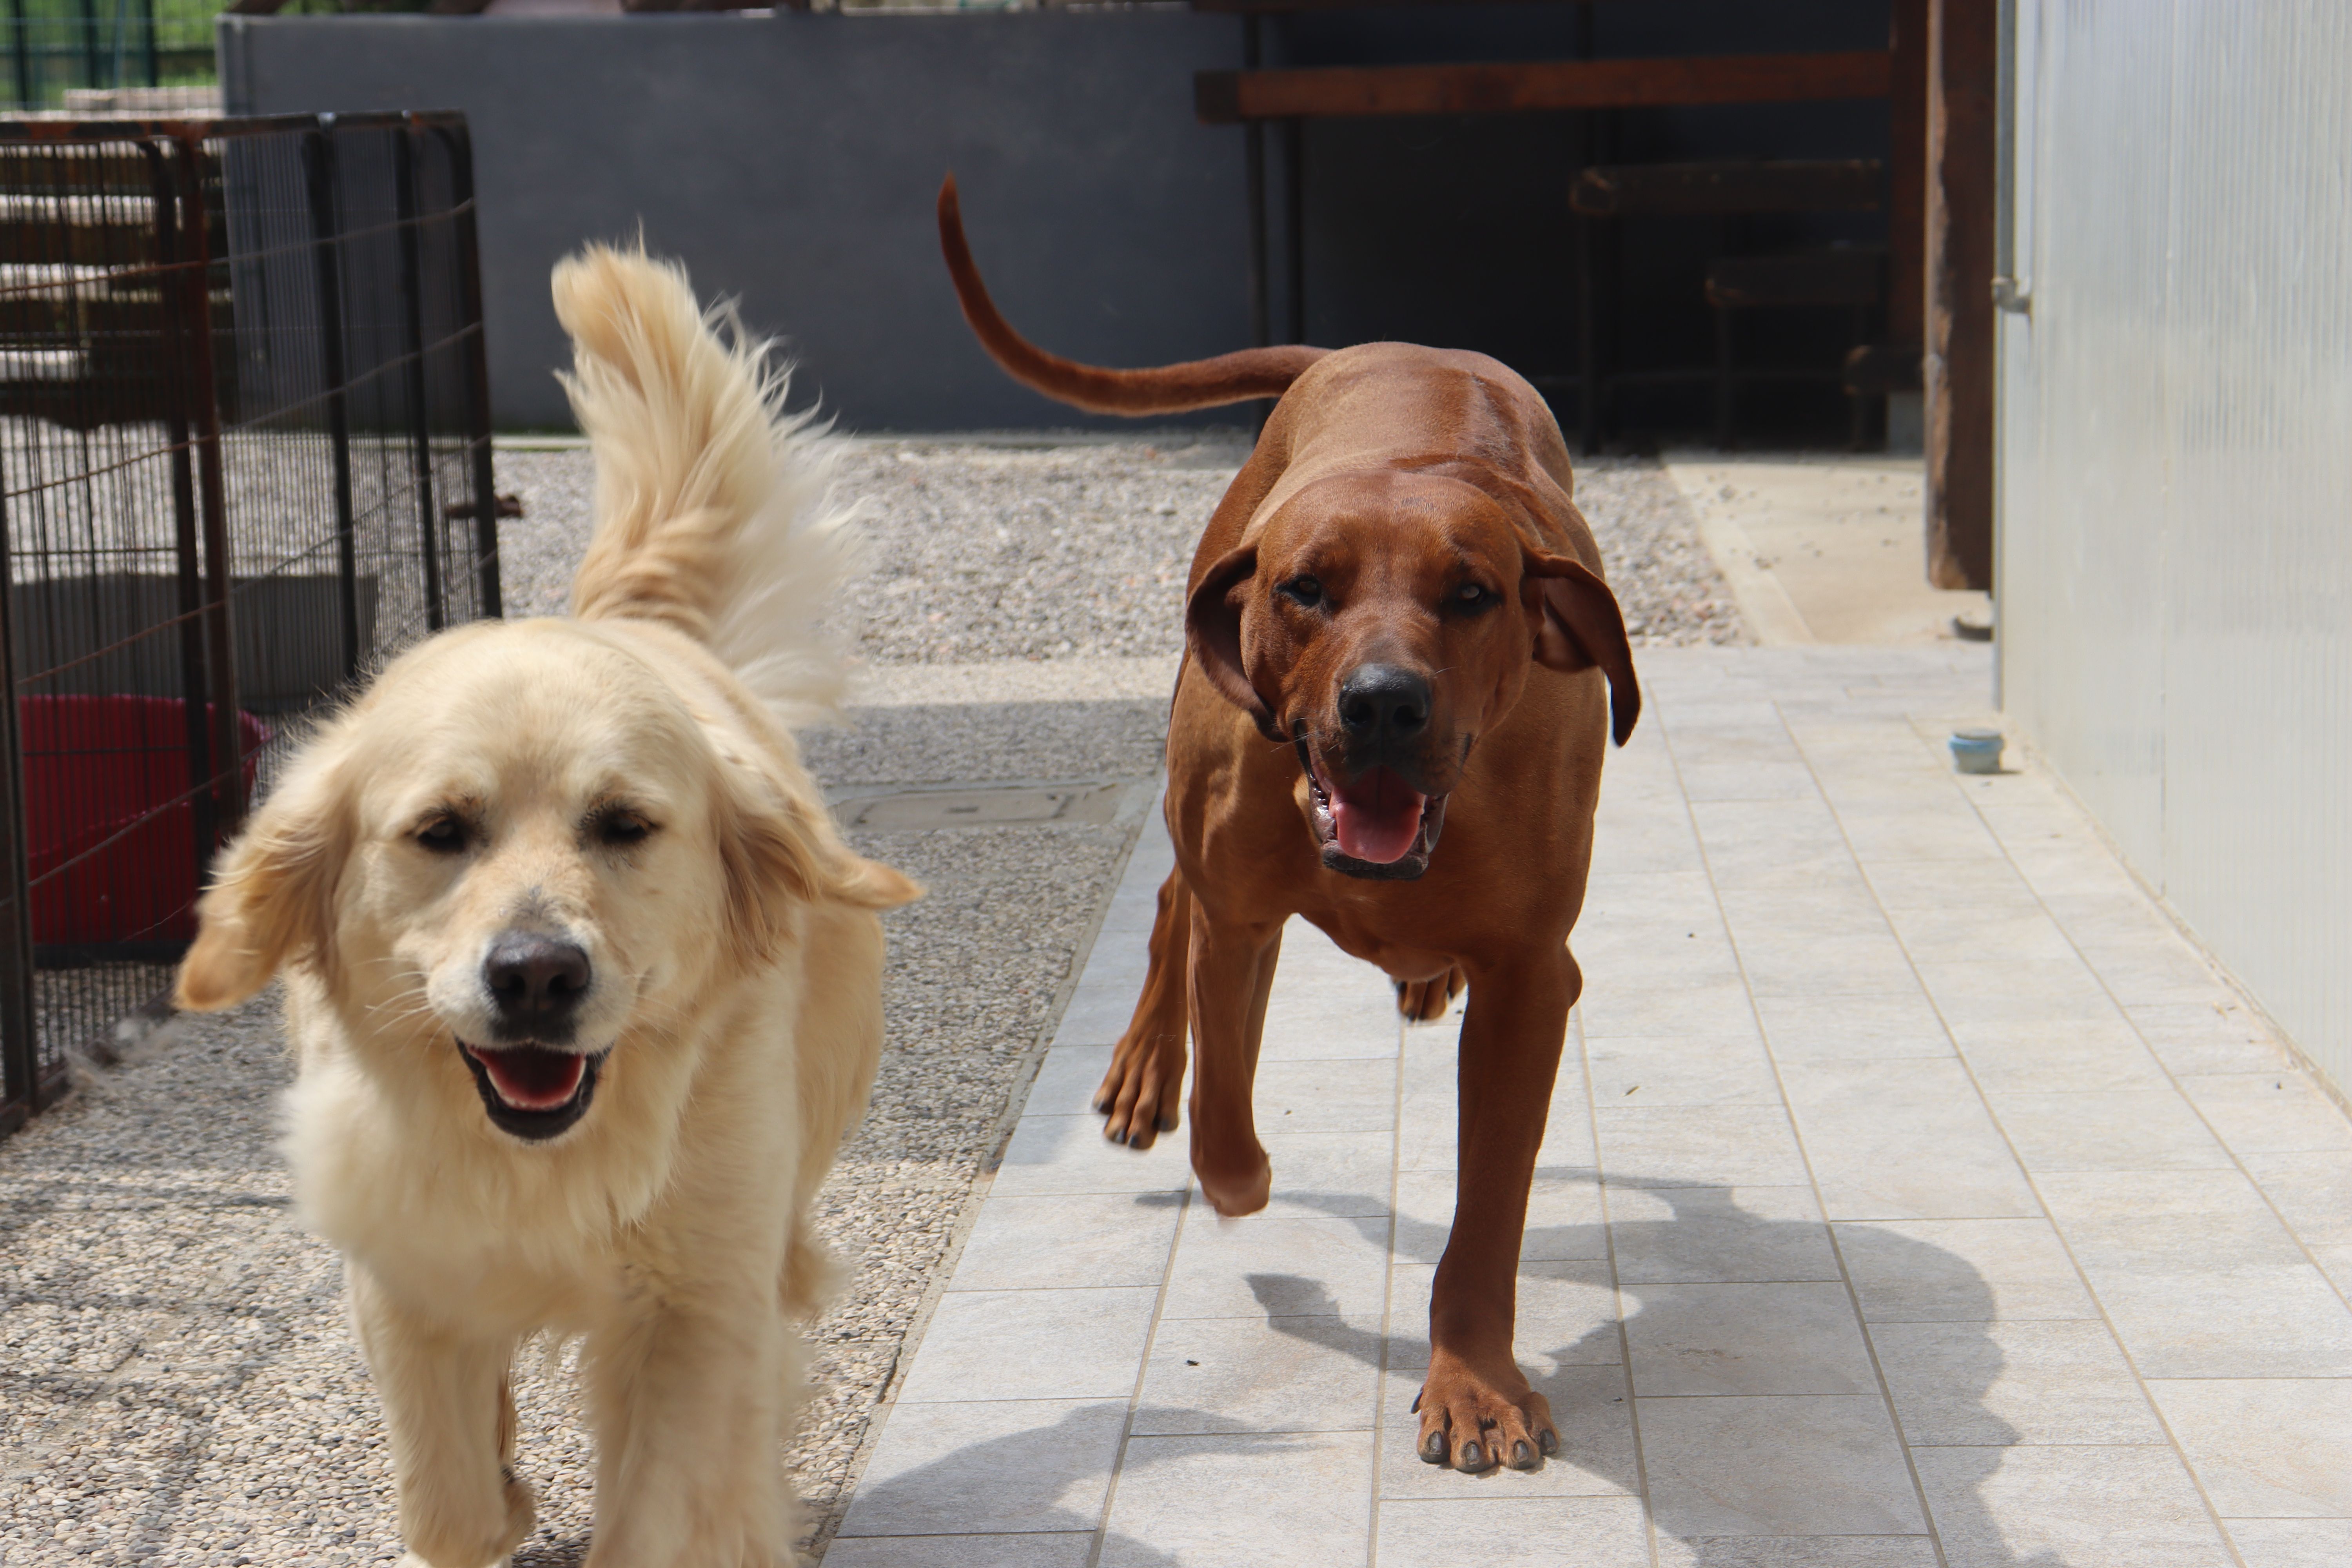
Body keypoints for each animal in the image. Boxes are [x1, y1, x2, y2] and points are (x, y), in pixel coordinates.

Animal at [172, 246, 917, 1567]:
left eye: (622, 825)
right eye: (439, 832)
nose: (535, 975)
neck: (549, 1161)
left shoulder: (692, 1304)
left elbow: (660, 1502)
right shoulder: (403, 1274)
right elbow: (451, 1495)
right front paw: (499, 1492)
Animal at [939, 177, 1638, 1474]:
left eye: (1473, 594)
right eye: (1305, 588)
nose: (1383, 703)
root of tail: (1363, 351)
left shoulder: (1531, 980)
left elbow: (1487, 1211)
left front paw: (1474, 1382)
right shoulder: (1243, 912)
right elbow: (1227, 1135)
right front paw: (1237, 1169)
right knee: (1170, 899)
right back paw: (1143, 1071)